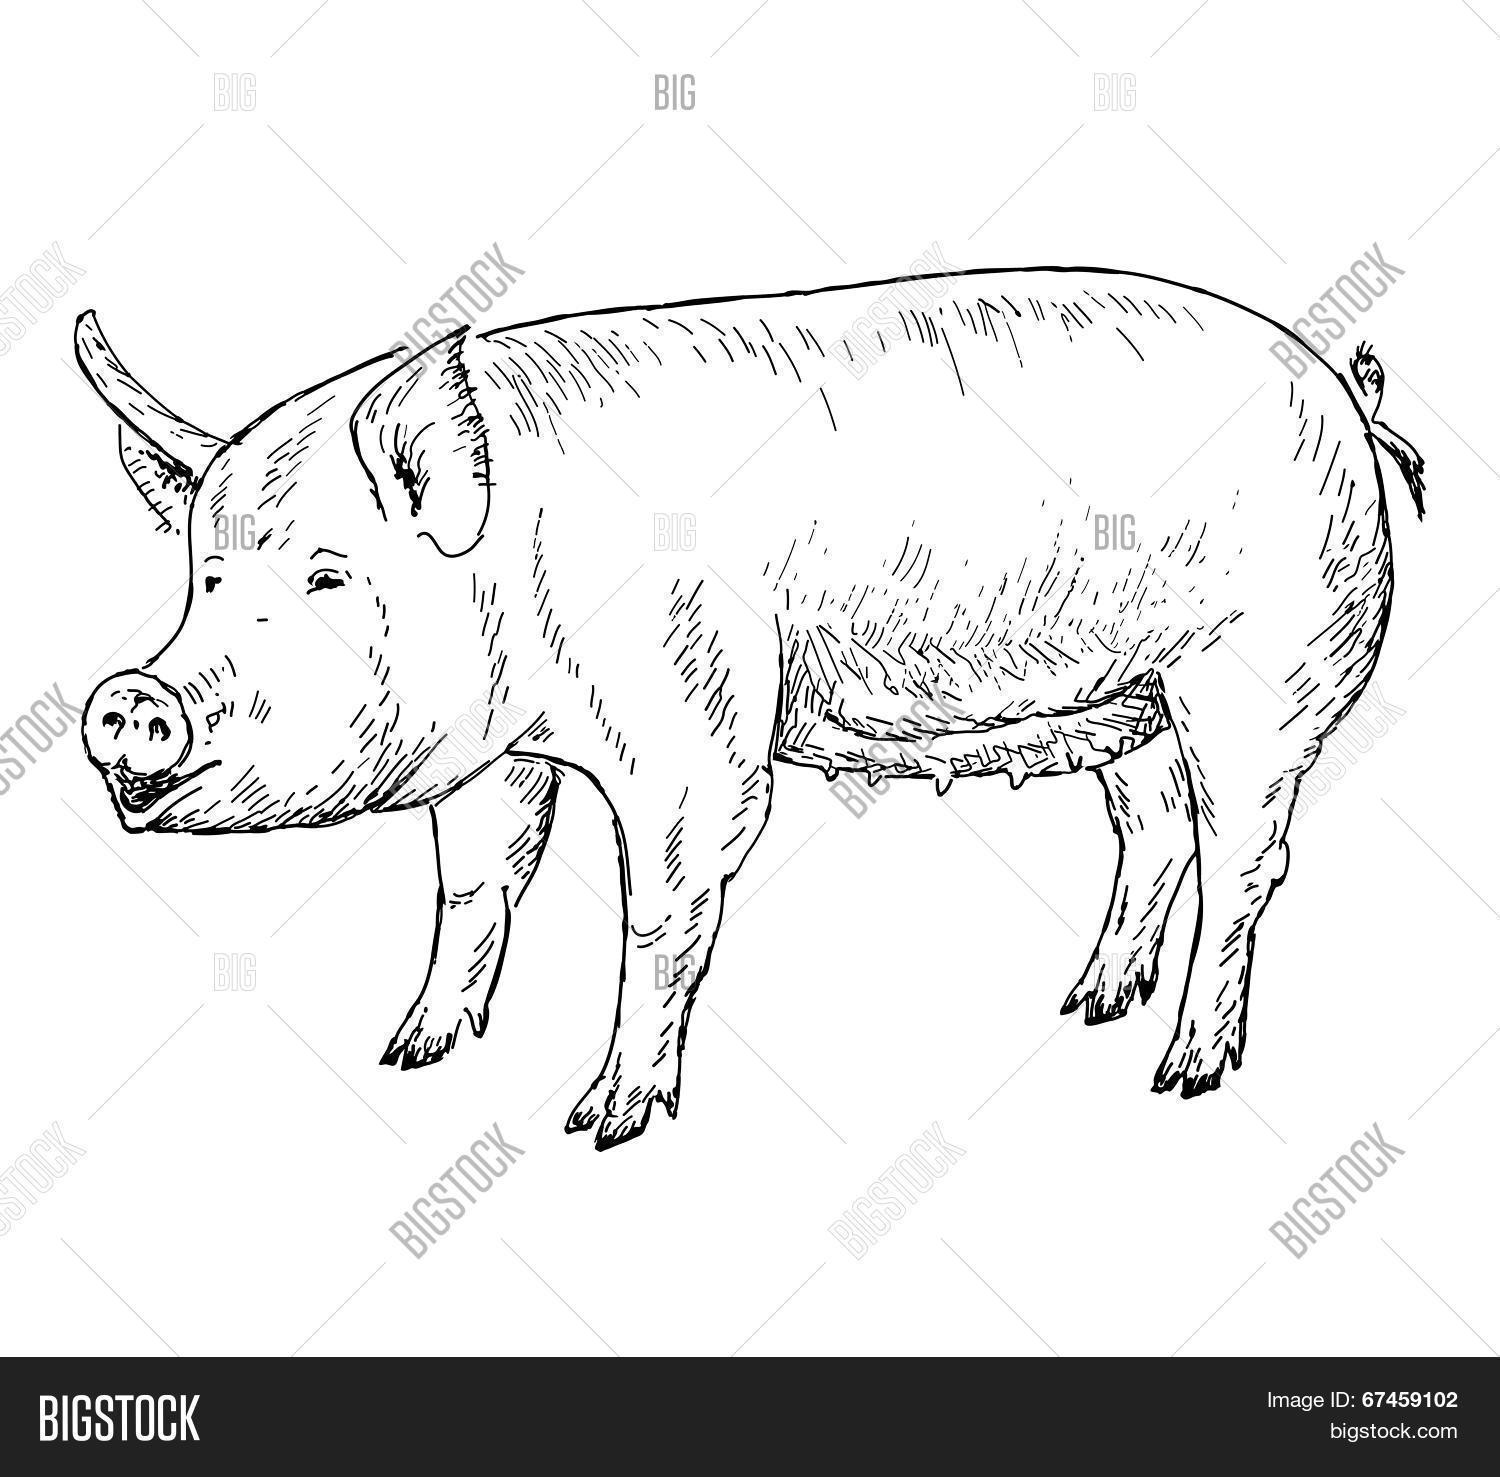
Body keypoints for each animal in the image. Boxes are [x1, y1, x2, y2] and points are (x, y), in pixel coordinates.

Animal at [75, 267, 1425, 1149]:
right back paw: (1089, 1003)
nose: (127, 697)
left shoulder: (695, 726)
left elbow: (663, 907)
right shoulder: (499, 758)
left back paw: (1182, 1071)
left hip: (1255, 677)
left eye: (326, 578)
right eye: (205, 578)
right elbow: (476, 880)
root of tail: (1339, 387)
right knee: (1151, 828)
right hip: (1128, 698)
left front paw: (606, 1123)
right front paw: (412, 1050)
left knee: (1247, 853)